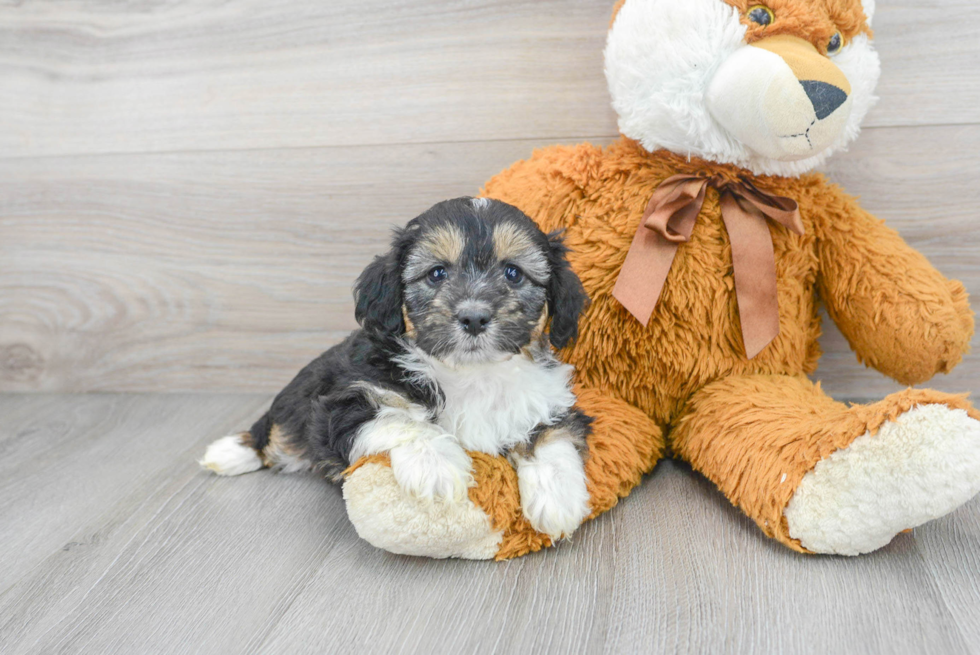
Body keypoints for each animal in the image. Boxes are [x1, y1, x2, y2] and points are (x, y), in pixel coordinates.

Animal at [203, 197, 592, 540]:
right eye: (437, 273)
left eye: (513, 273)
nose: (474, 316)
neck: (470, 373)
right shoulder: (341, 402)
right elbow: (398, 417)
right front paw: (436, 465)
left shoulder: (551, 398)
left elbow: (551, 432)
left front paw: (559, 497)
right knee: (274, 432)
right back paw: (230, 453)